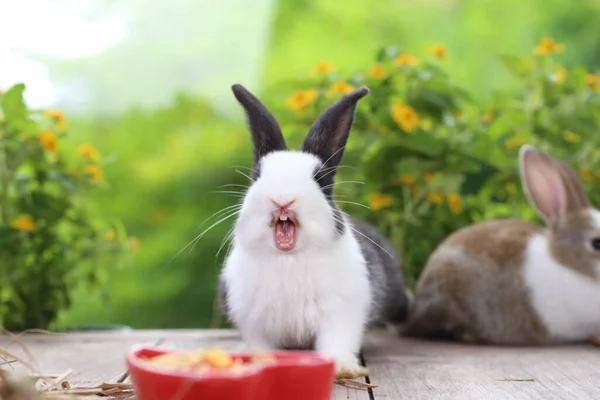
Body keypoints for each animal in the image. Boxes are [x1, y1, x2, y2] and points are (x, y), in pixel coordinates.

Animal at [220, 83, 412, 378]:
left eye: (319, 178)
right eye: (258, 176)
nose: (282, 197)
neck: (288, 258)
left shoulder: (340, 313)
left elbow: (336, 341)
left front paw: (342, 367)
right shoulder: (256, 321)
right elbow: (261, 345)